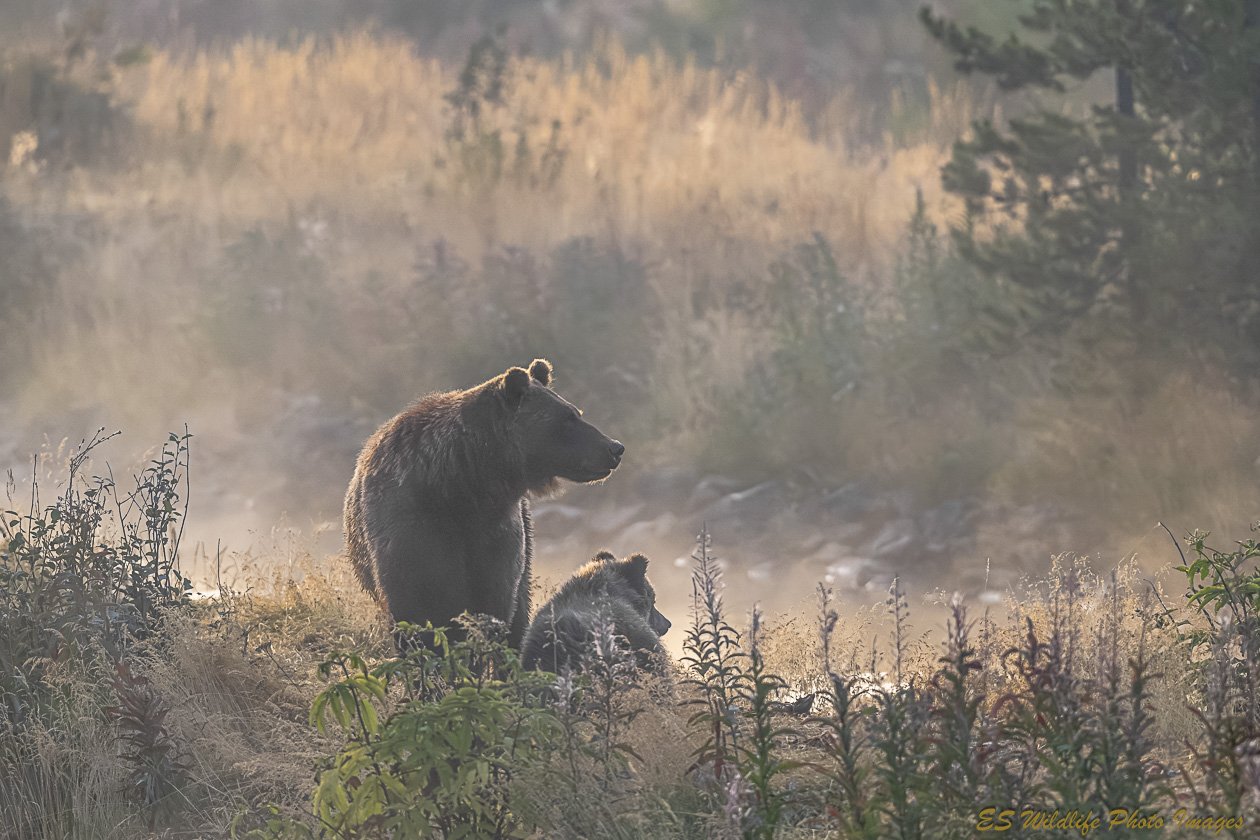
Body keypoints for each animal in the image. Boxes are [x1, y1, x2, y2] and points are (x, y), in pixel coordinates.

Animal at [343, 358, 624, 649]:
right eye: (567, 417)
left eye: (575, 412)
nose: (615, 447)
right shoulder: (412, 526)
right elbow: (416, 604)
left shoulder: (497, 535)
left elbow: (495, 601)